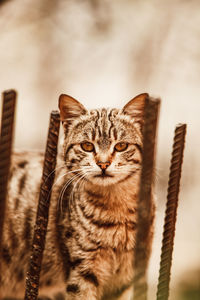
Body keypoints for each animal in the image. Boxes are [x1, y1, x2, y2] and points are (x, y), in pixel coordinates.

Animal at [0, 92, 155, 298]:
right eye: (87, 146)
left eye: (121, 146)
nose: (103, 164)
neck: (115, 208)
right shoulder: (83, 272)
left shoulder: (123, 280)